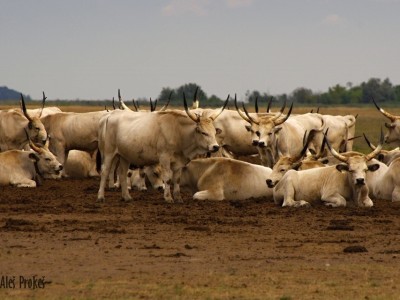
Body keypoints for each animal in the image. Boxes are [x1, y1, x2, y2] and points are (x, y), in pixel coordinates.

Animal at [97, 95, 228, 203]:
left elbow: (177, 179)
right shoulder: (164, 157)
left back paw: (127, 197)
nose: (215, 147)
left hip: (124, 155)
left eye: (214, 132)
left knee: (122, 173)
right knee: (105, 171)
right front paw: (168, 198)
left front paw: (178, 198)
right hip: (109, 152)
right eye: (203, 132)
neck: (178, 131)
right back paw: (101, 197)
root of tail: (111, 115)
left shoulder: (179, 162)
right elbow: (168, 178)